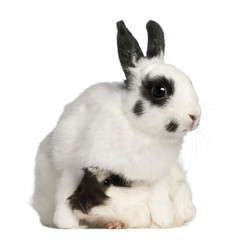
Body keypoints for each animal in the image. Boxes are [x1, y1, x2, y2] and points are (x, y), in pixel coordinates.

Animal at [32, 20, 201, 229]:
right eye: (159, 90)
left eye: (190, 82)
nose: (195, 116)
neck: (139, 130)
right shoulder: (74, 164)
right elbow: (65, 189)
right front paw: (67, 223)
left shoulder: (155, 174)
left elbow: (158, 195)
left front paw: (163, 219)